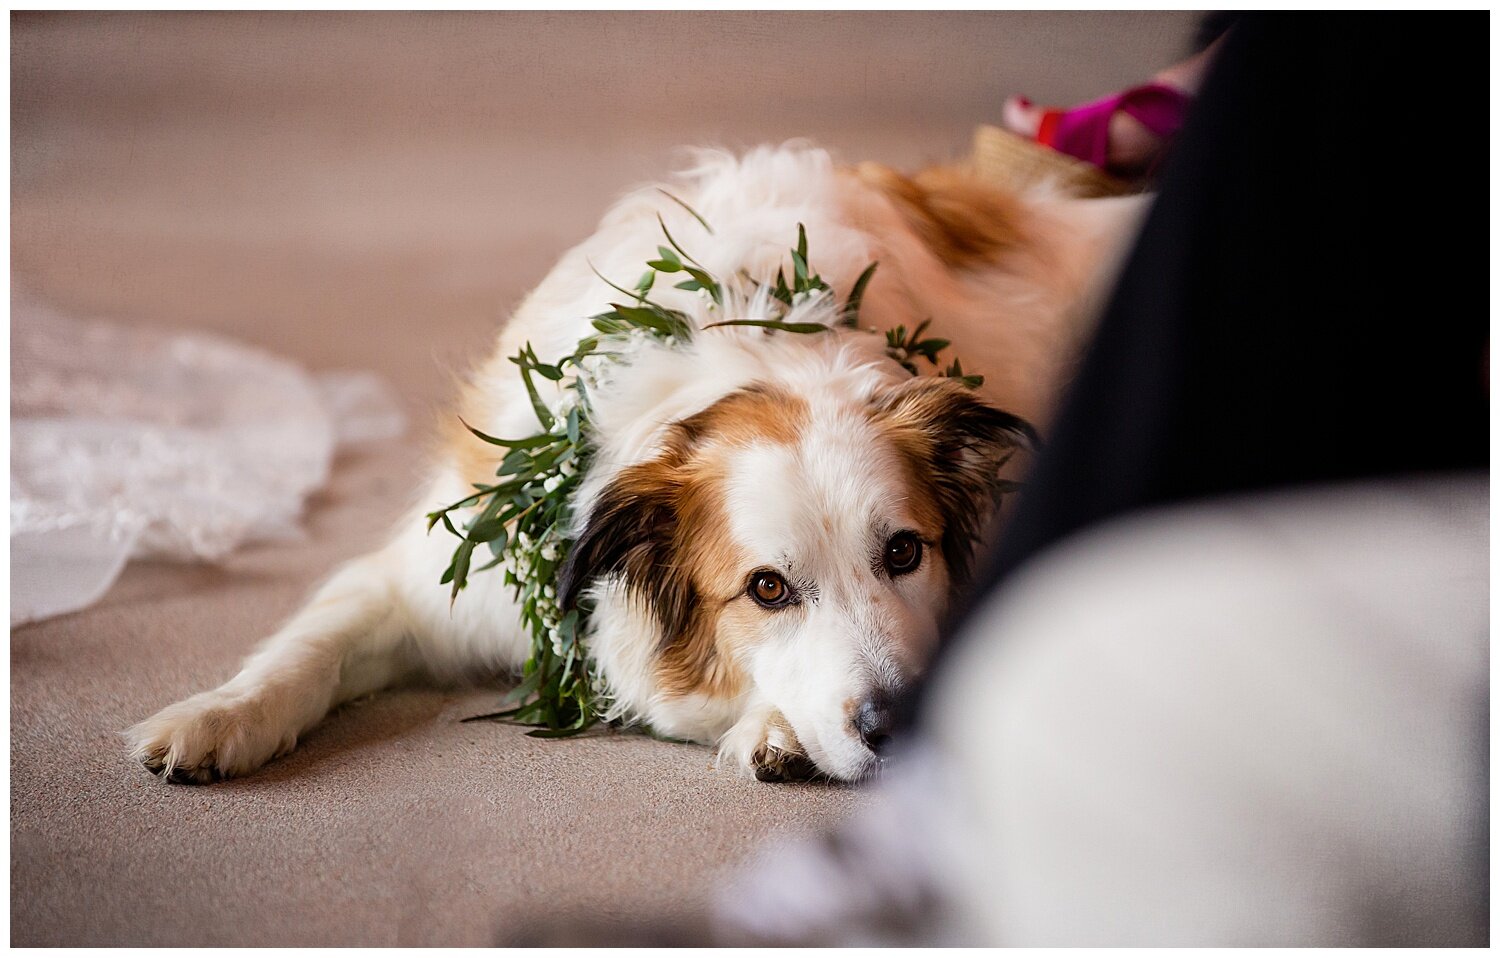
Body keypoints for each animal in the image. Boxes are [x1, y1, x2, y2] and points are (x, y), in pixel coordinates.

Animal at [129, 143, 1140, 785]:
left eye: (903, 553)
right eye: (767, 589)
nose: (905, 726)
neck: (745, 332)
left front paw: (775, 729)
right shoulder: (437, 579)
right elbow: (310, 646)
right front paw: (215, 717)